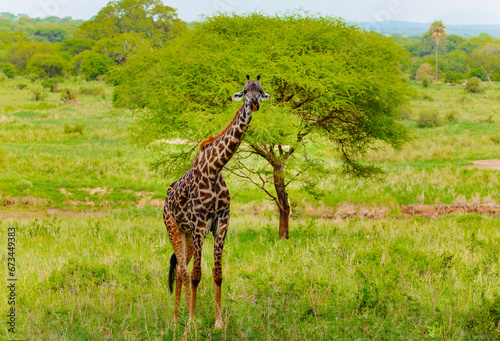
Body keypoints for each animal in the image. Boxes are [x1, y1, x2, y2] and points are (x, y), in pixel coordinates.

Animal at [163, 74, 270, 326]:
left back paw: (178, 316)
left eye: (261, 91)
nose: (254, 104)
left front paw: (218, 323)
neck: (214, 168)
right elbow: (196, 274)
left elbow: (218, 274)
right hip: (174, 229)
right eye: (245, 91)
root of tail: (164, 201)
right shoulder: (200, 225)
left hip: (186, 235)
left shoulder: (221, 223)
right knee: (184, 271)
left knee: (180, 268)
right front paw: (192, 322)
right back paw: (179, 319)